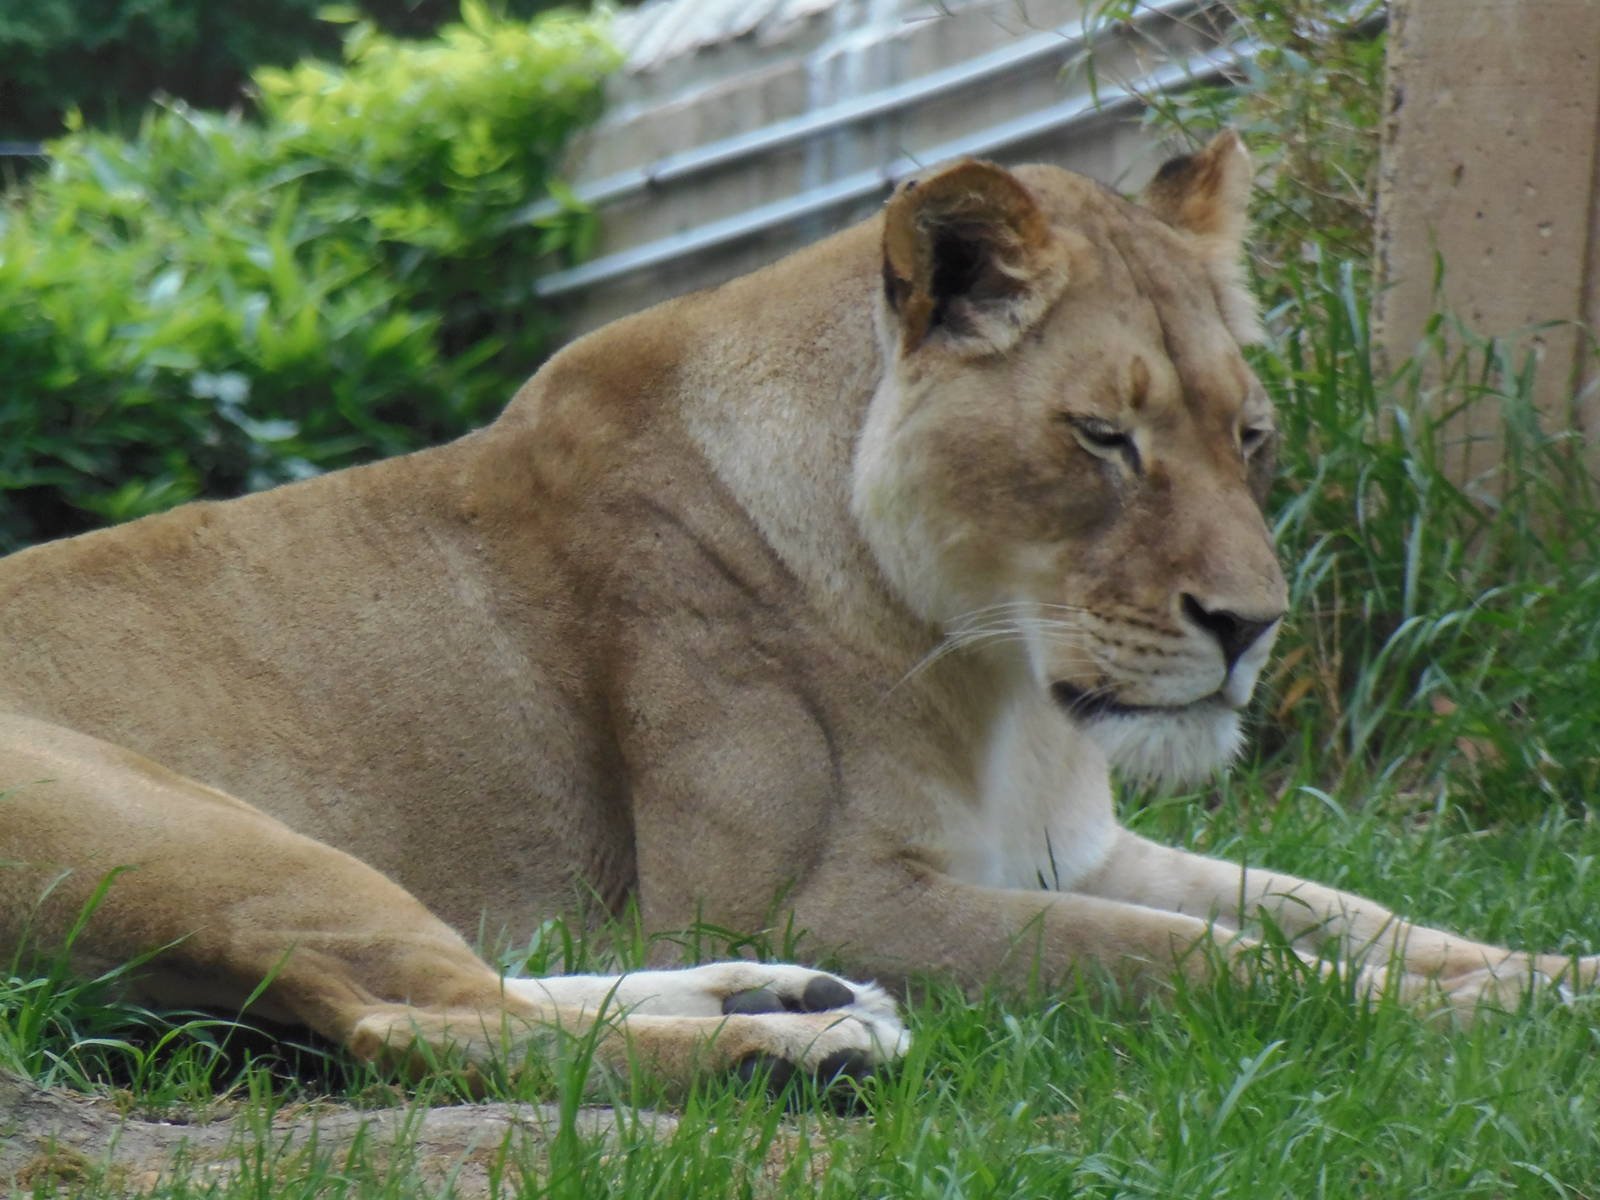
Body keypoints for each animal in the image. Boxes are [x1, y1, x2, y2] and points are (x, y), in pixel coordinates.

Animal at [2, 132, 1593, 1095]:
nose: (1251, 626)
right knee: (418, 1022)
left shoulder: (1073, 849)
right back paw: (811, 1056)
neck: (1006, 687)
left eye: (1248, 437)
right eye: (1103, 438)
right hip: (204, 831)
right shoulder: (821, 887)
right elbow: (1207, 959)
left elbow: (1355, 912)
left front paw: (1554, 976)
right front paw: (1483, 1022)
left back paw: (788, 1005)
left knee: (466, 990)